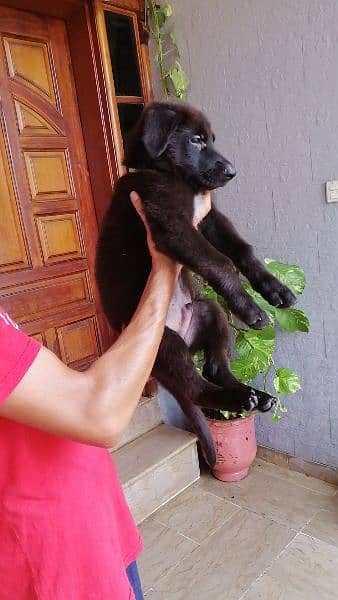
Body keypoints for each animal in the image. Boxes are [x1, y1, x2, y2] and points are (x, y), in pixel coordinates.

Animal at [95, 102, 296, 464]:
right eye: (197, 140)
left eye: (212, 139)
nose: (232, 172)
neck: (165, 173)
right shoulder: (172, 224)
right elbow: (222, 262)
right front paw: (251, 311)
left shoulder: (210, 217)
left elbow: (242, 250)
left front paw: (275, 290)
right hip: (164, 345)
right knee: (196, 388)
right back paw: (236, 399)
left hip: (208, 311)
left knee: (215, 368)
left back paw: (253, 395)